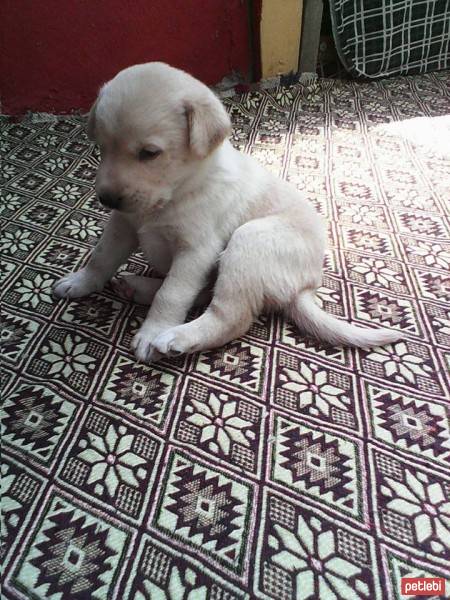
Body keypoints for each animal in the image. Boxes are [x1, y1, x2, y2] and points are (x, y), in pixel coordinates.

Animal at [53, 61, 404, 360]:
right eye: (102, 147)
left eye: (149, 153)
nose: (107, 199)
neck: (177, 194)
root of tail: (307, 284)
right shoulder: (122, 225)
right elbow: (101, 256)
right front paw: (81, 282)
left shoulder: (196, 250)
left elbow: (173, 293)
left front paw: (152, 332)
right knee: (204, 294)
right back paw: (138, 287)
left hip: (250, 241)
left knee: (230, 316)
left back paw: (176, 336)